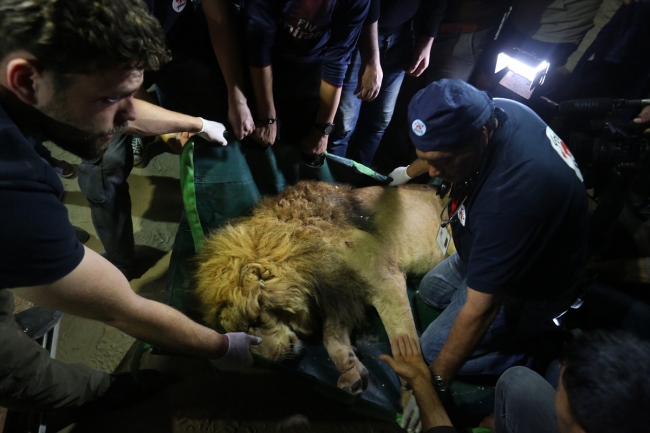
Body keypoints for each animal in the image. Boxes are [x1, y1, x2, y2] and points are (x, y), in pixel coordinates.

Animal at [192, 181, 450, 394]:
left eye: (255, 321)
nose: (273, 363)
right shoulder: (340, 292)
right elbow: (331, 337)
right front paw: (350, 367)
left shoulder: (385, 278)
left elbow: (404, 345)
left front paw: (414, 399)